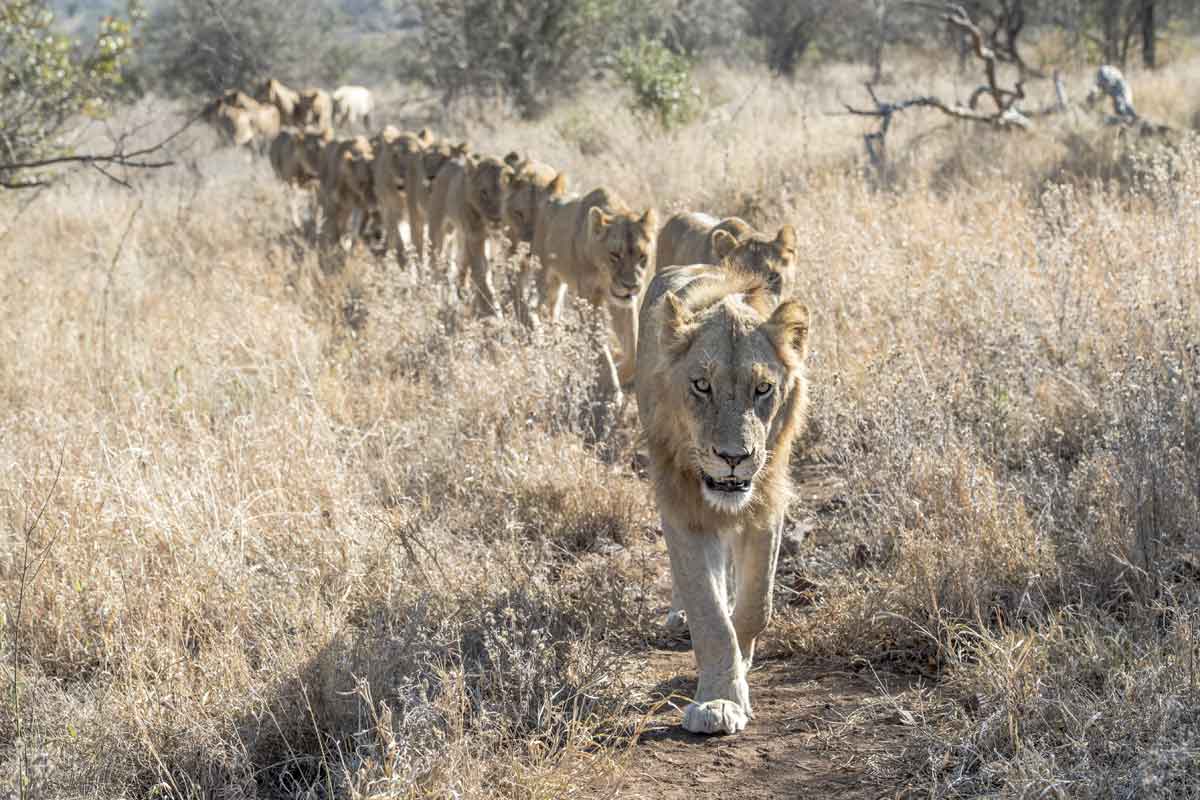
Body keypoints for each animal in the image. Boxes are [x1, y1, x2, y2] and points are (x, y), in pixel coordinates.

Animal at [424, 149, 513, 316]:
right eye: (484, 192)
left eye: (504, 192)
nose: (496, 219)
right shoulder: (475, 236)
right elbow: (481, 271)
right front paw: (492, 311)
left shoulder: (490, 238)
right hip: (439, 226)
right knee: (435, 255)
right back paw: (433, 284)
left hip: (461, 234)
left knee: (463, 259)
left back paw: (462, 288)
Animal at [535, 187, 657, 398]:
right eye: (615, 255)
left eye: (642, 257)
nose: (631, 285)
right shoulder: (588, 298)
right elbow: (599, 345)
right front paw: (610, 389)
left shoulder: (622, 304)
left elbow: (633, 351)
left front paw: (620, 373)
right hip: (544, 272)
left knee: (553, 310)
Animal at [633, 247, 811, 734]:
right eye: (701, 385)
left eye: (763, 388)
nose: (733, 457)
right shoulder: (682, 507)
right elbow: (709, 616)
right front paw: (718, 702)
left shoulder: (767, 501)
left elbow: (754, 605)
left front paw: (741, 669)